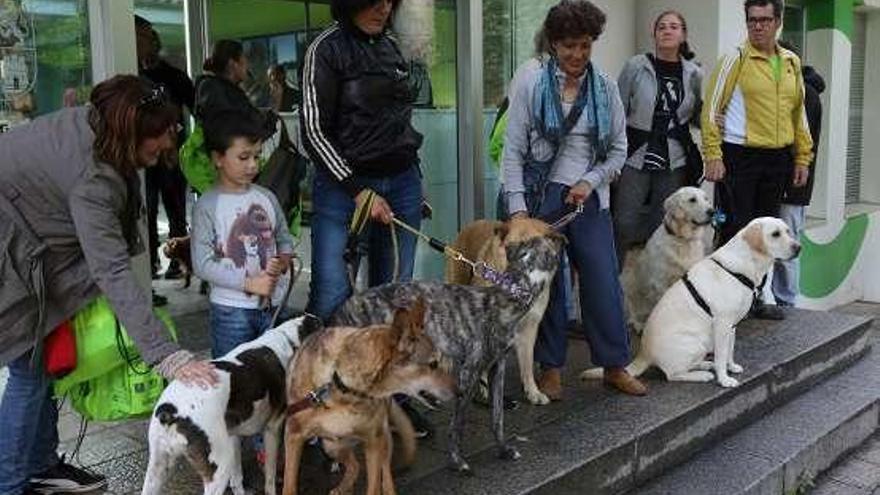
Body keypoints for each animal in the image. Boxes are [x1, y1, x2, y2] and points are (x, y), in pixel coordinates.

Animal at [136, 316, 318, 494]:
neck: (288, 339)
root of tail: (171, 411)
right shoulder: (272, 429)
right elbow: (270, 477)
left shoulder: (233, 437)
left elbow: (237, 479)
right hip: (219, 469)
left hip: (157, 469)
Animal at [284, 298, 454, 495]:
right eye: (433, 364)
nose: (460, 392)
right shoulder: (293, 436)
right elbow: (289, 485)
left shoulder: (374, 441)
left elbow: (374, 485)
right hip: (331, 445)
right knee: (354, 466)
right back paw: (342, 487)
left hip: (380, 441)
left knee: (383, 471)